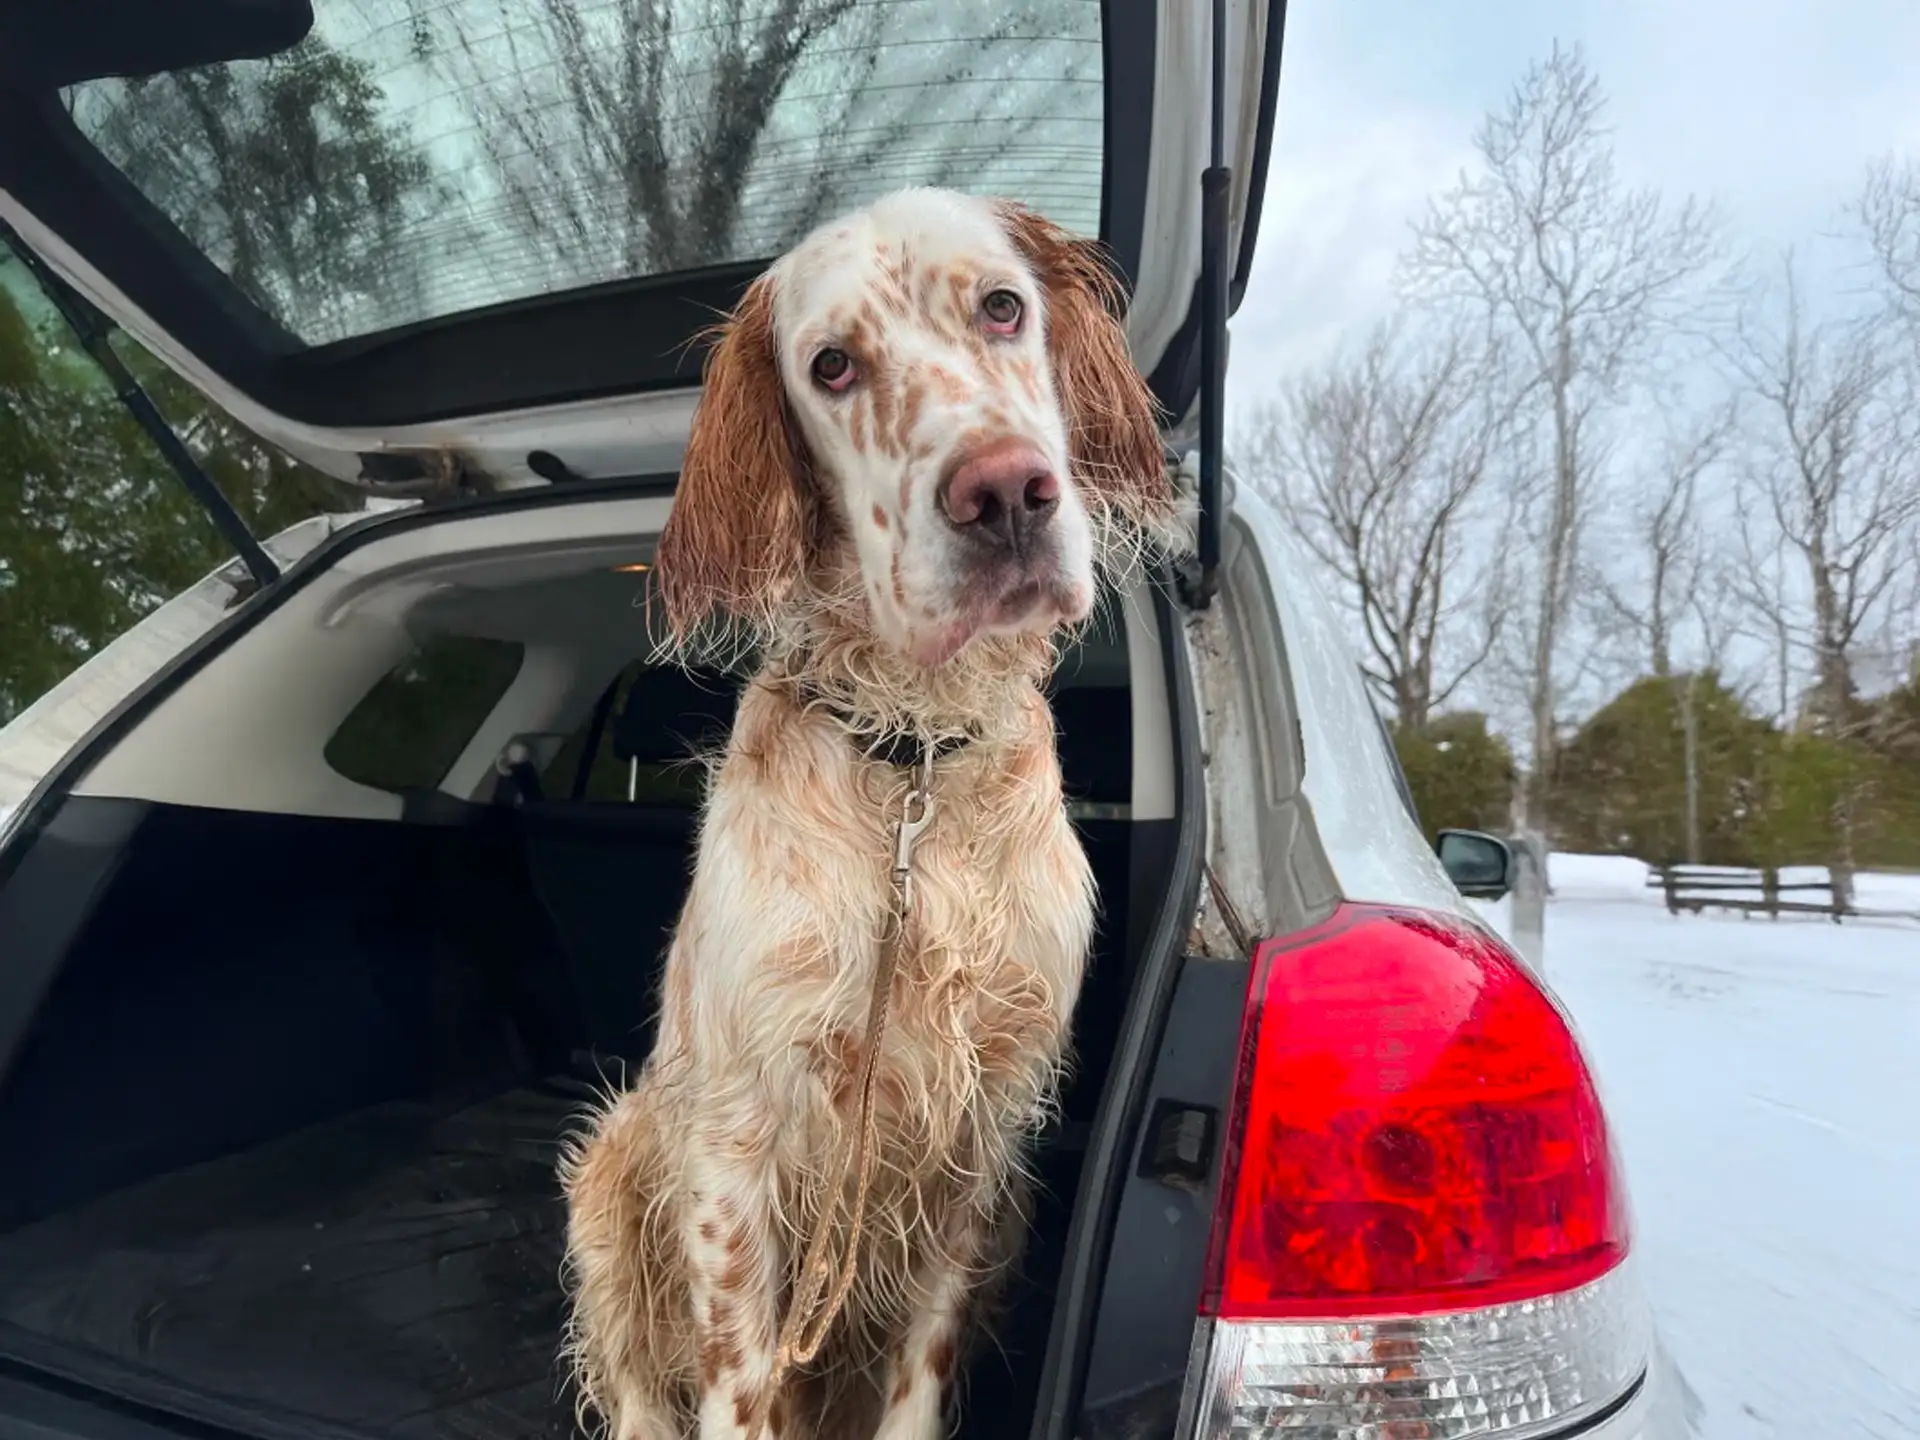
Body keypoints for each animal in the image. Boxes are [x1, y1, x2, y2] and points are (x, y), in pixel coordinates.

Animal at [560, 186, 1159, 1436]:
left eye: (1002, 307)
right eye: (831, 365)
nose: (1005, 491)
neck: (915, 767)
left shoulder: (981, 1138)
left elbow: (919, 1371)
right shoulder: (737, 1142)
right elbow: (735, 1389)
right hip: (612, 1162)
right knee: (636, 1379)